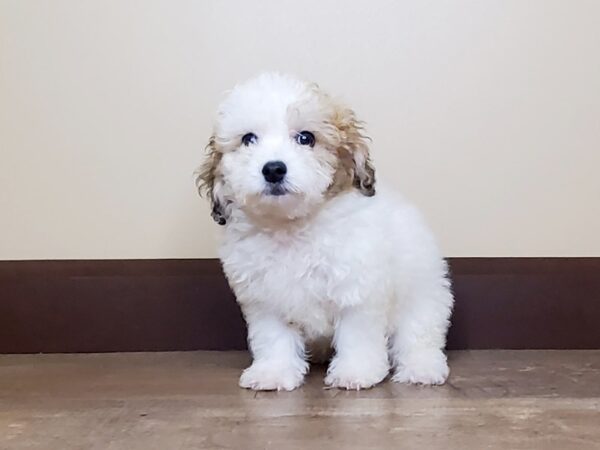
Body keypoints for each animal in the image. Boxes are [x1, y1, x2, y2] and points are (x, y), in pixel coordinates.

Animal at [199, 74, 452, 390]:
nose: (273, 169)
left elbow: (358, 335)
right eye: (248, 139)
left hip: (424, 296)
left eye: (306, 138)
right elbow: (273, 337)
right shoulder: (265, 299)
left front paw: (355, 372)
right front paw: (273, 371)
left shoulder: (357, 290)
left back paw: (422, 368)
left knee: (418, 335)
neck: (292, 226)